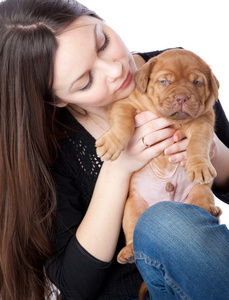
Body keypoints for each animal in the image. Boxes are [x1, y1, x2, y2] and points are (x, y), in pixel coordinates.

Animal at [95, 49, 222, 268]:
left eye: (197, 82)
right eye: (164, 82)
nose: (182, 97)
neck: (172, 119)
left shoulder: (203, 121)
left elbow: (198, 142)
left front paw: (199, 166)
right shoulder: (124, 105)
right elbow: (123, 122)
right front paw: (112, 143)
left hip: (201, 193)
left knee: (202, 209)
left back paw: (212, 211)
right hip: (132, 208)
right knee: (133, 232)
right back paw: (128, 252)